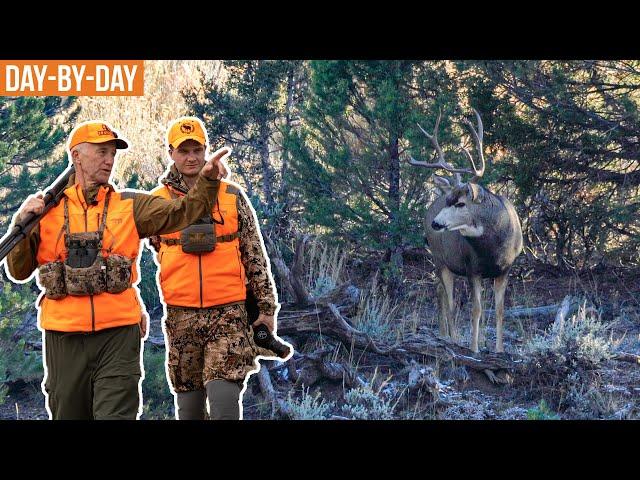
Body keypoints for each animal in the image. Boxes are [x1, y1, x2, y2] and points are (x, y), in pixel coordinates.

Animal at [410, 110, 520, 354]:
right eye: (449, 202)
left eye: (460, 203)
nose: (436, 224)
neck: (494, 247)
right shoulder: (472, 268)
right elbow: (476, 309)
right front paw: (474, 348)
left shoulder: (505, 270)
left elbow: (500, 310)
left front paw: (499, 349)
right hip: (440, 259)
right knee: (449, 300)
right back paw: (452, 338)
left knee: (440, 291)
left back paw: (445, 334)